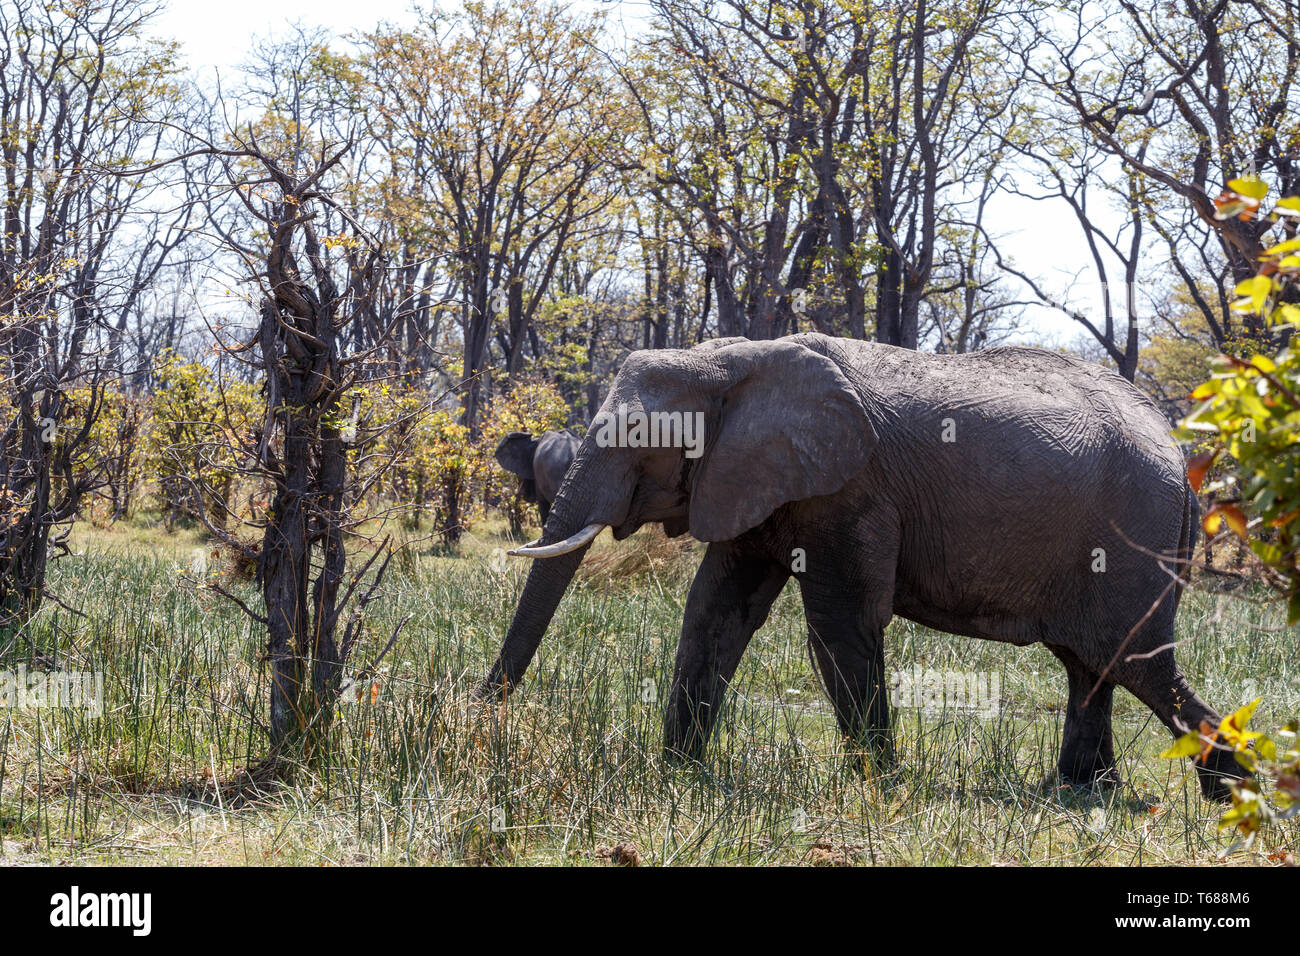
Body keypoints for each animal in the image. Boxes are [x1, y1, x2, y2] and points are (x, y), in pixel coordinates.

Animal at [479, 332, 1242, 799]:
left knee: (1134, 659)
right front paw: (678, 774)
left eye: (641, 441)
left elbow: (840, 621)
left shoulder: (849, 490)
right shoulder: (754, 479)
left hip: (1131, 532)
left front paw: (878, 786)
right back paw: (1085, 793)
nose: (482, 714)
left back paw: (1224, 786)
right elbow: (716, 613)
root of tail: (1178, 450)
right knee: (1093, 665)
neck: (735, 358)